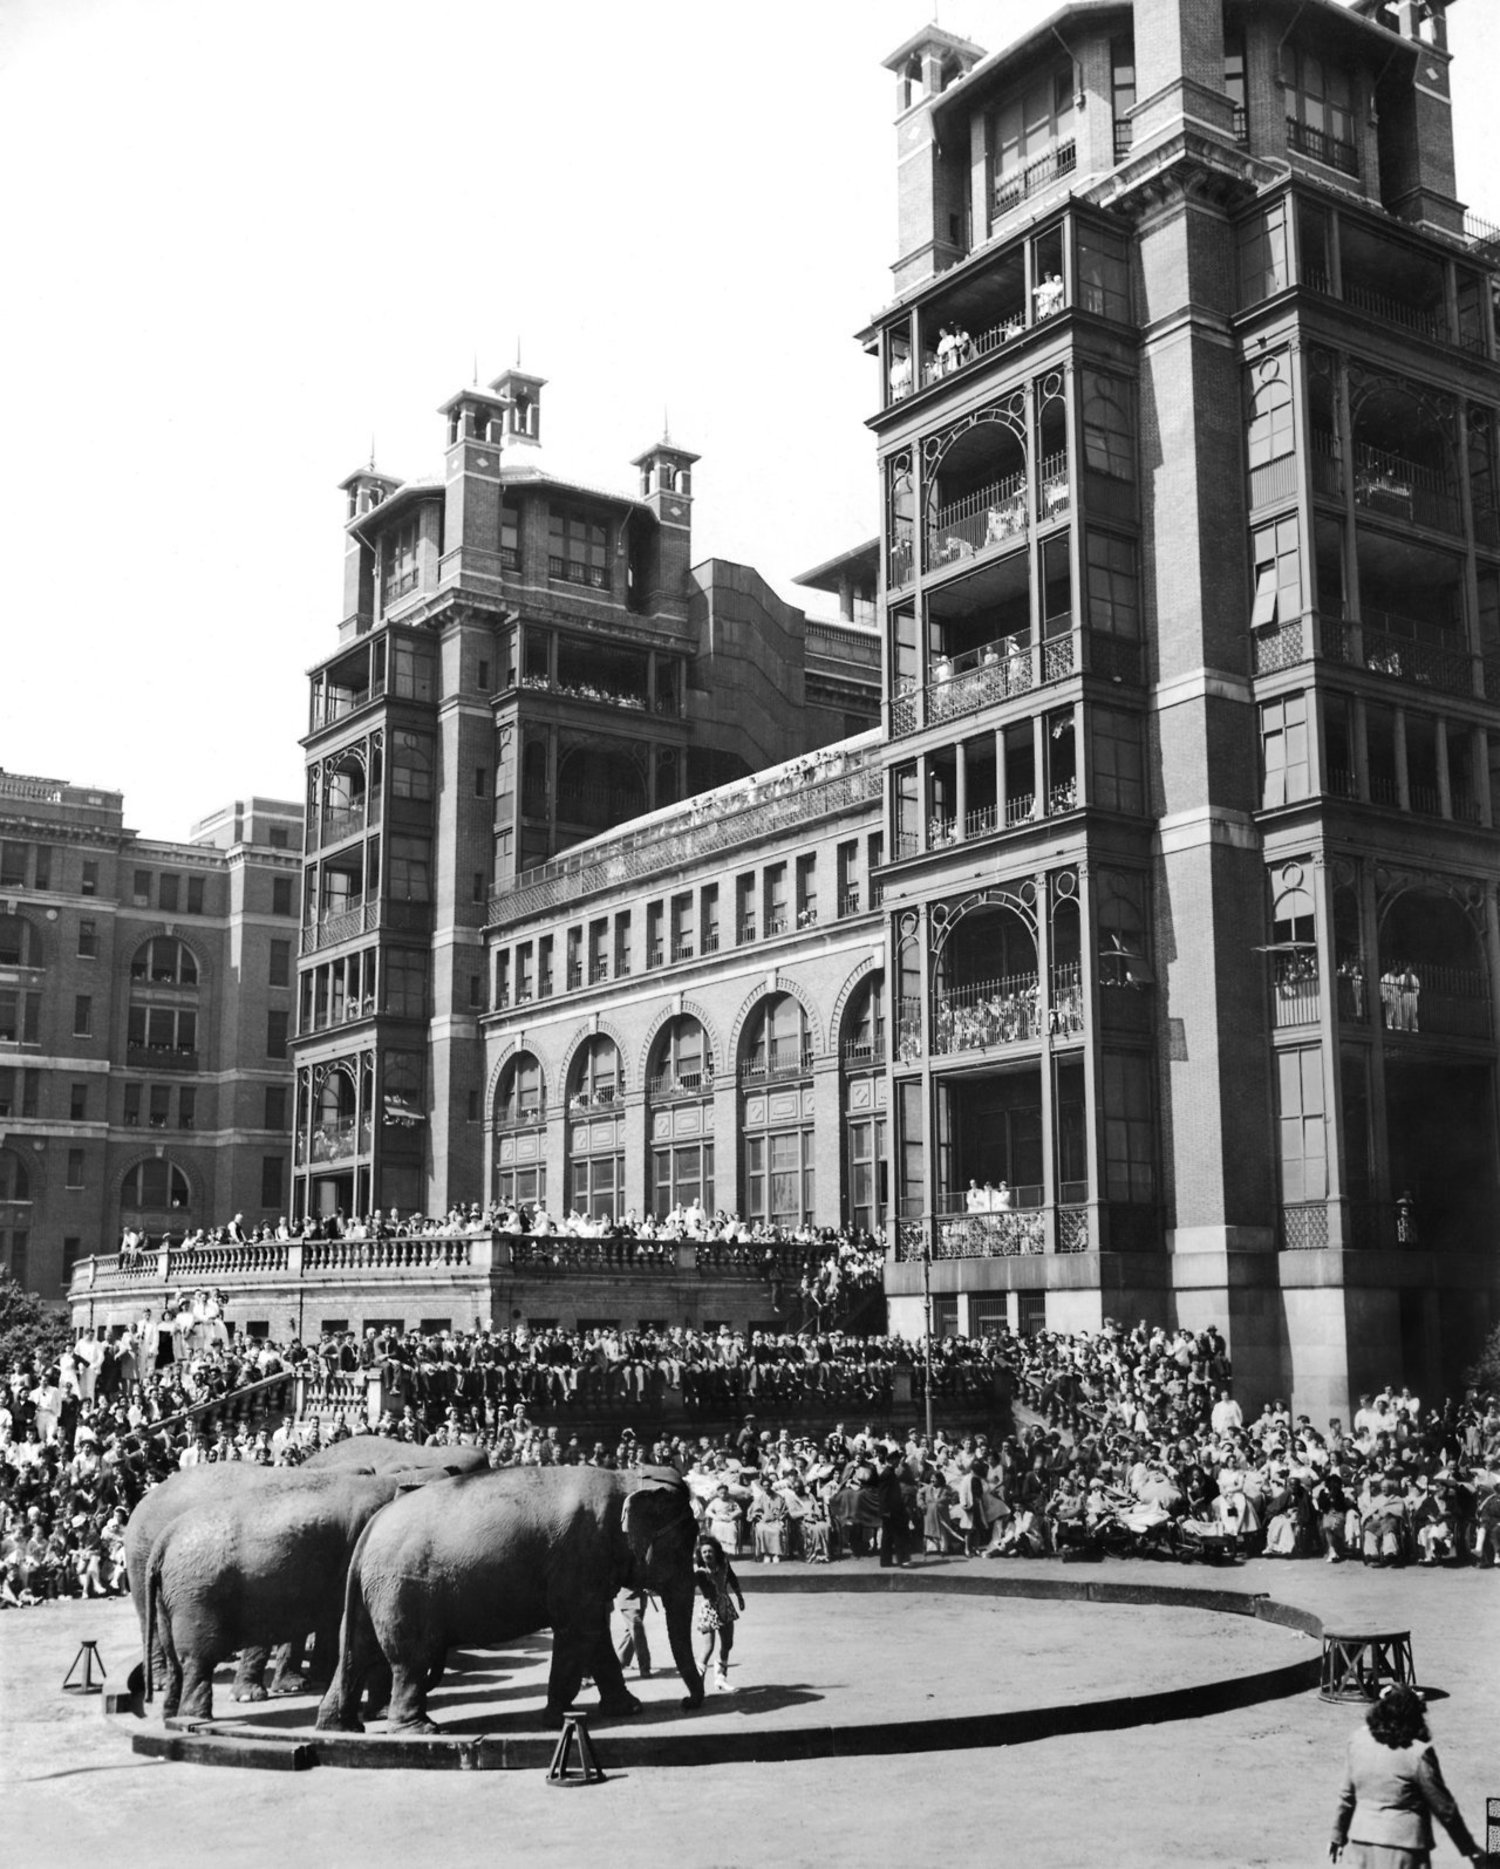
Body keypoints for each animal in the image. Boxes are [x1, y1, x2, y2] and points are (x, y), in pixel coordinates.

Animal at [145, 1465, 452, 1712]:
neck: (397, 1479)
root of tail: (163, 1541)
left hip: (169, 1598)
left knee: (174, 1656)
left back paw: (171, 1713)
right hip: (195, 1597)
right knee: (196, 1659)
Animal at [317, 1457, 702, 1734]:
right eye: (684, 1547)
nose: (687, 1701)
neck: (625, 1478)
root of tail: (370, 1530)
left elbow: (592, 1636)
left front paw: (627, 1708)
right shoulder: (578, 1557)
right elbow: (581, 1629)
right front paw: (557, 1717)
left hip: (372, 1593)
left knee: (355, 1652)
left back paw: (339, 1727)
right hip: (402, 1591)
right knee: (410, 1659)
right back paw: (420, 1730)